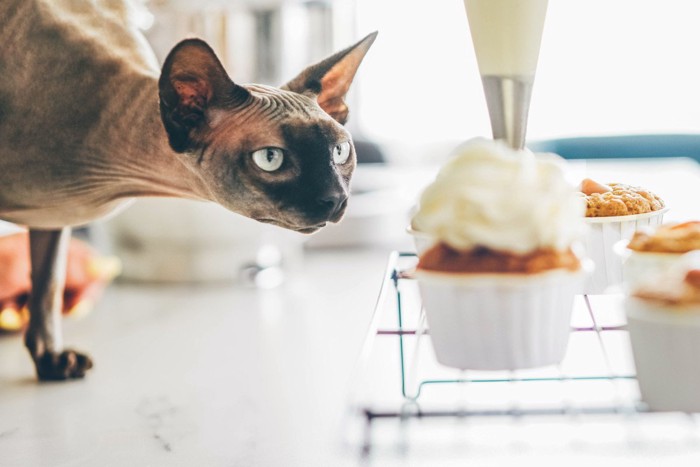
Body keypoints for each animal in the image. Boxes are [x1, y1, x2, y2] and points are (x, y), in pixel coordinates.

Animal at [0, 0, 378, 380]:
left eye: (340, 152)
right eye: (271, 158)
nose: (335, 199)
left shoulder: (54, 219)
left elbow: (48, 284)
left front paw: (50, 360)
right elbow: (43, 284)